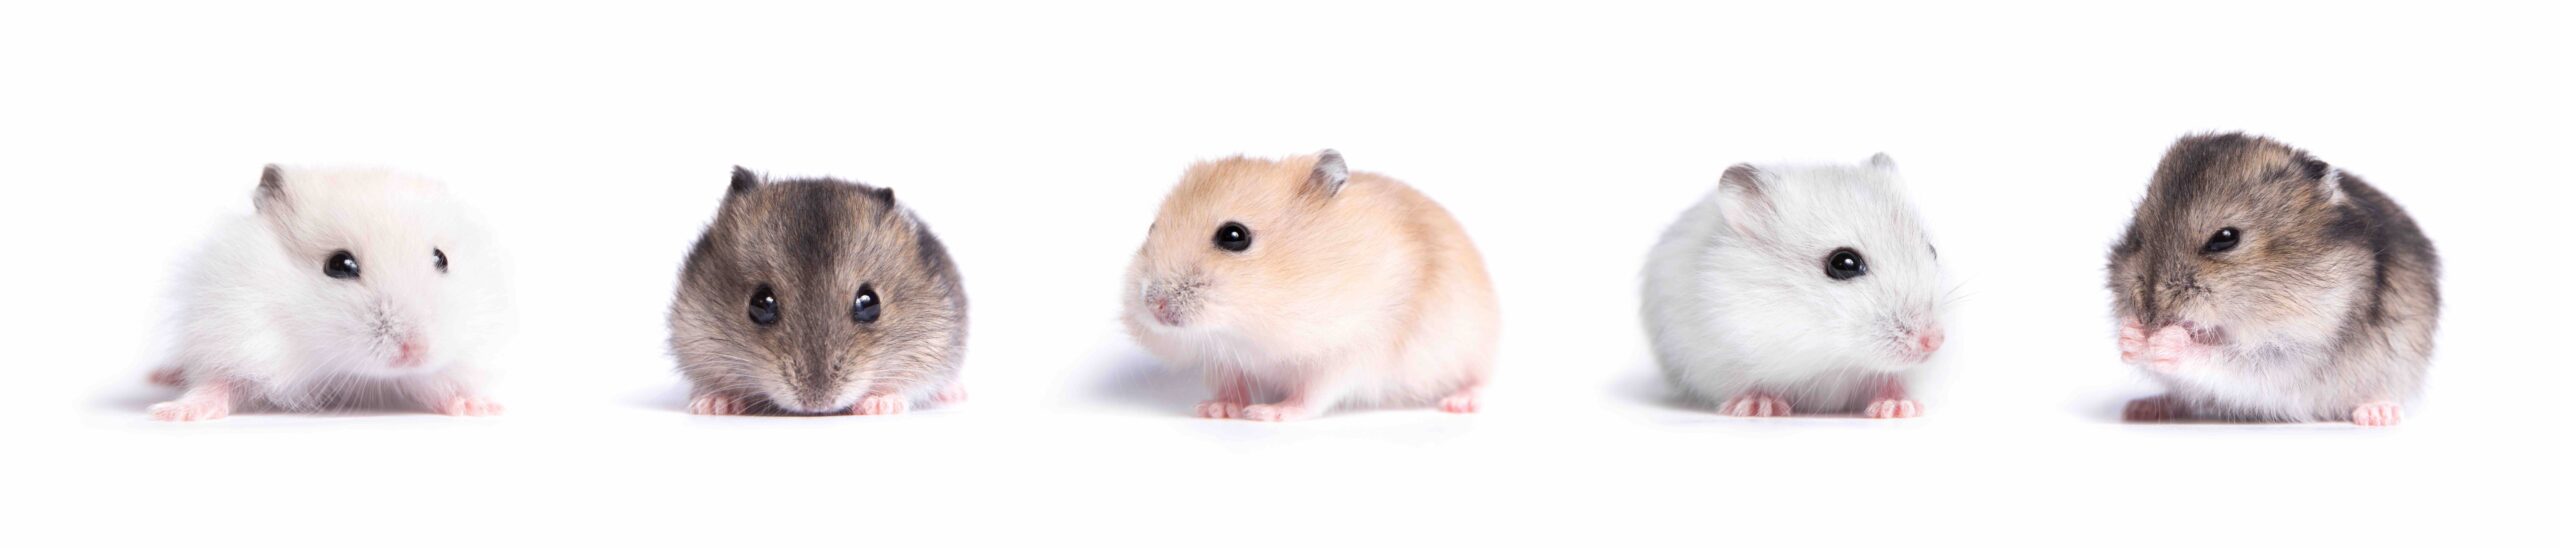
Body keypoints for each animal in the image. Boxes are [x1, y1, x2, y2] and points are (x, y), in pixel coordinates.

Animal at [145, 165, 514, 421]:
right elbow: (217, 384)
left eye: (442, 259)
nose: (417, 351)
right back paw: (159, 376)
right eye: (340, 265)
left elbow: (442, 386)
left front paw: (483, 407)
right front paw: (170, 414)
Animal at [668, 167, 968, 416]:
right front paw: (713, 405)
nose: (817, 404)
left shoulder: (932, 345)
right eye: (760, 304)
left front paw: (879, 405)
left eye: (870, 304)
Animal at [1122, 150, 1499, 421]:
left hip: (1474, 344)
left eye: (1234, 236)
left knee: (1481, 379)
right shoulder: (1222, 358)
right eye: (1152, 229)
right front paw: (1216, 410)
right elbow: (1230, 383)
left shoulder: (1353, 350)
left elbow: (1312, 395)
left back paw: (1458, 404)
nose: (1154, 306)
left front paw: (1265, 413)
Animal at [1641, 154, 1946, 418]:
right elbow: (1751, 381)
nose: (1934, 340)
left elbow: (1892, 380)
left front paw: (1898, 408)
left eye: (1932, 251)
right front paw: (1757, 407)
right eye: (1844, 263)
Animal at [2107, 133, 2440, 427]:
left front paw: (2166, 340)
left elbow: (2230, 358)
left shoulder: (2297, 350)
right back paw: (2140, 408)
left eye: (2225, 238)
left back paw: (2377, 414)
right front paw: (2132, 336)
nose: (2150, 318)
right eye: (2138, 235)